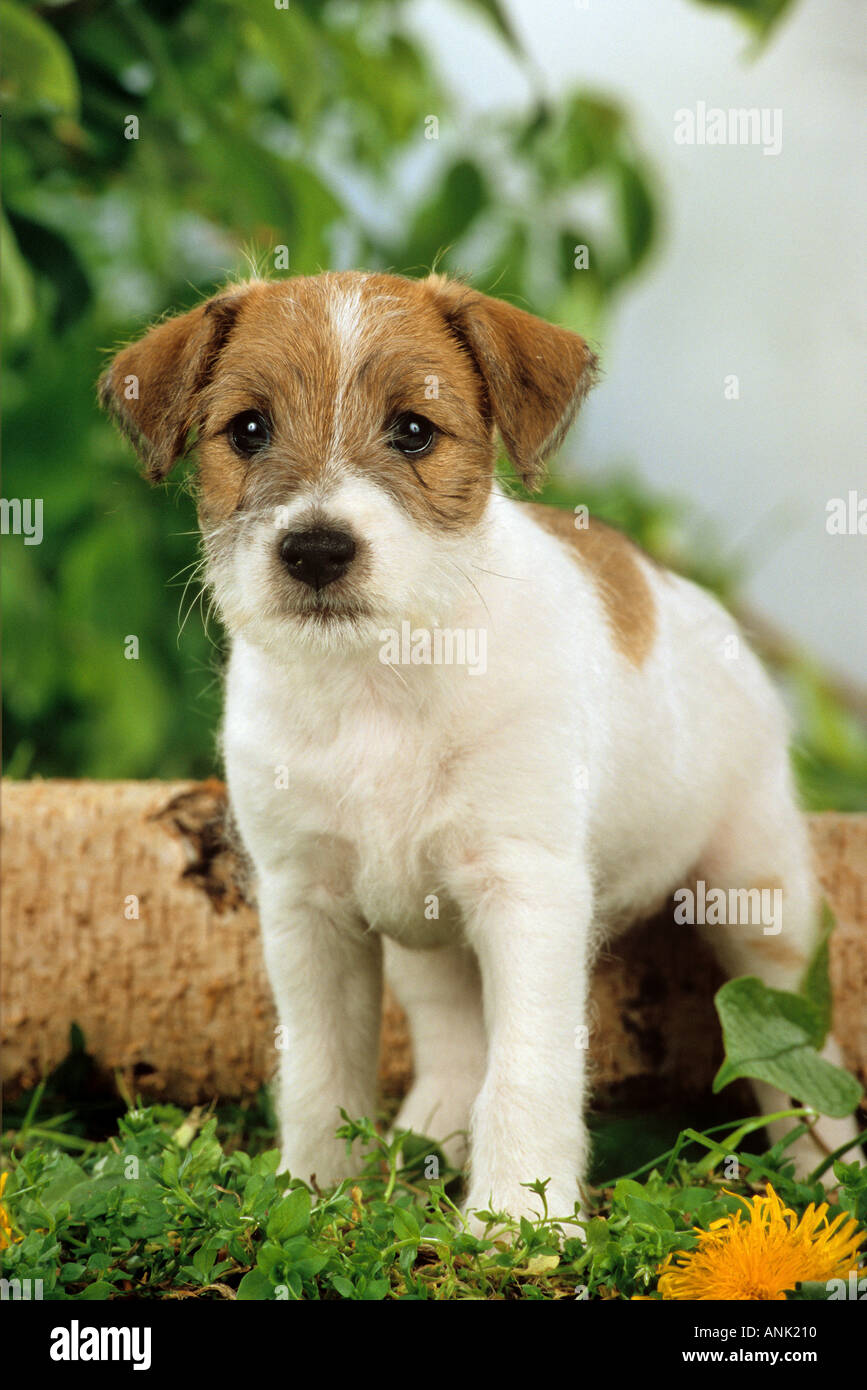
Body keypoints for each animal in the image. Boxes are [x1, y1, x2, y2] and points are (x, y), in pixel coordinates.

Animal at [101, 276, 861, 1234]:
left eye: (413, 430)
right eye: (246, 429)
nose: (315, 550)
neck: (378, 684)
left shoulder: (526, 890)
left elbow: (526, 1067)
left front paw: (519, 1220)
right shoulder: (306, 904)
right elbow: (318, 1068)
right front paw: (312, 1190)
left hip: (758, 899)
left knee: (797, 1047)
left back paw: (825, 1168)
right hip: (427, 939)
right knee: (453, 1042)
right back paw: (426, 1139)